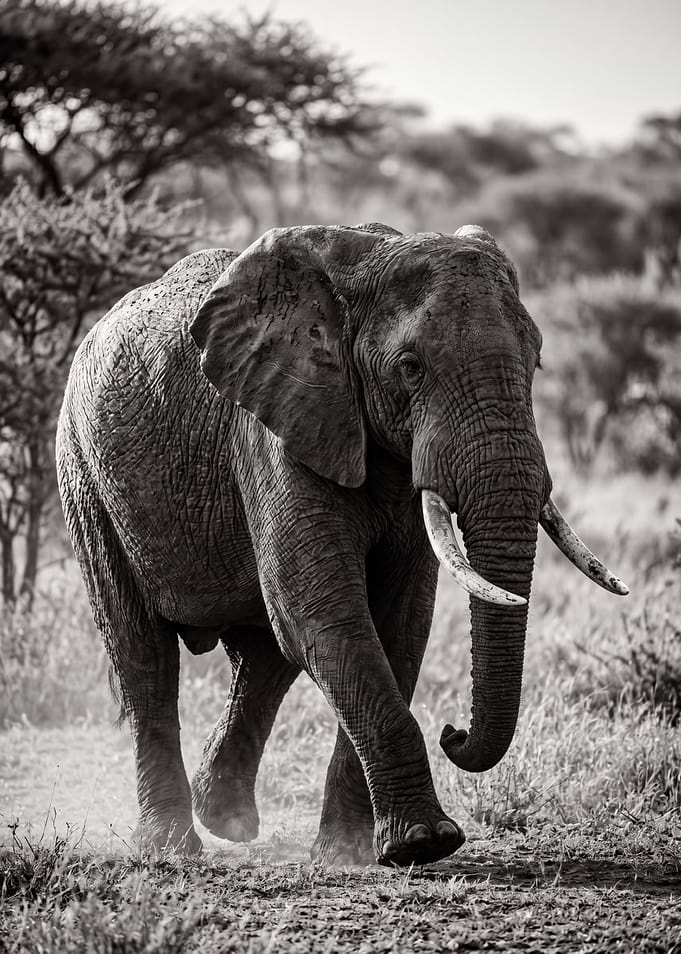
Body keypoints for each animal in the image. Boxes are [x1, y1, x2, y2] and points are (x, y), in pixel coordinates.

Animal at [56, 222, 627, 867]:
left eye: (537, 359)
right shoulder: (277, 428)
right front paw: (424, 844)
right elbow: (329, 617)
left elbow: (398, 624)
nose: (453, 732)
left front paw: (352, 852)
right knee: (144, 655)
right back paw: (173, 847)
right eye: (410, 368)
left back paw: (225, 817)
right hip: (84, 473)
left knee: (265, 658)